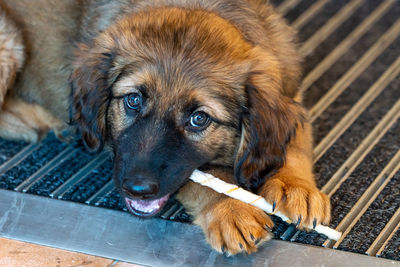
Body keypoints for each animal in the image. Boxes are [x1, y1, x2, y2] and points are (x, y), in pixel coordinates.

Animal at [0, 0, 332, 255]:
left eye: (199, 119)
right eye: (133, 100)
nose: (137, 189)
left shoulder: (291, 93)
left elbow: (292, 142)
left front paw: (294, 187)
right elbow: (204, 179)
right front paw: (231, 207)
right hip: (9, 42)